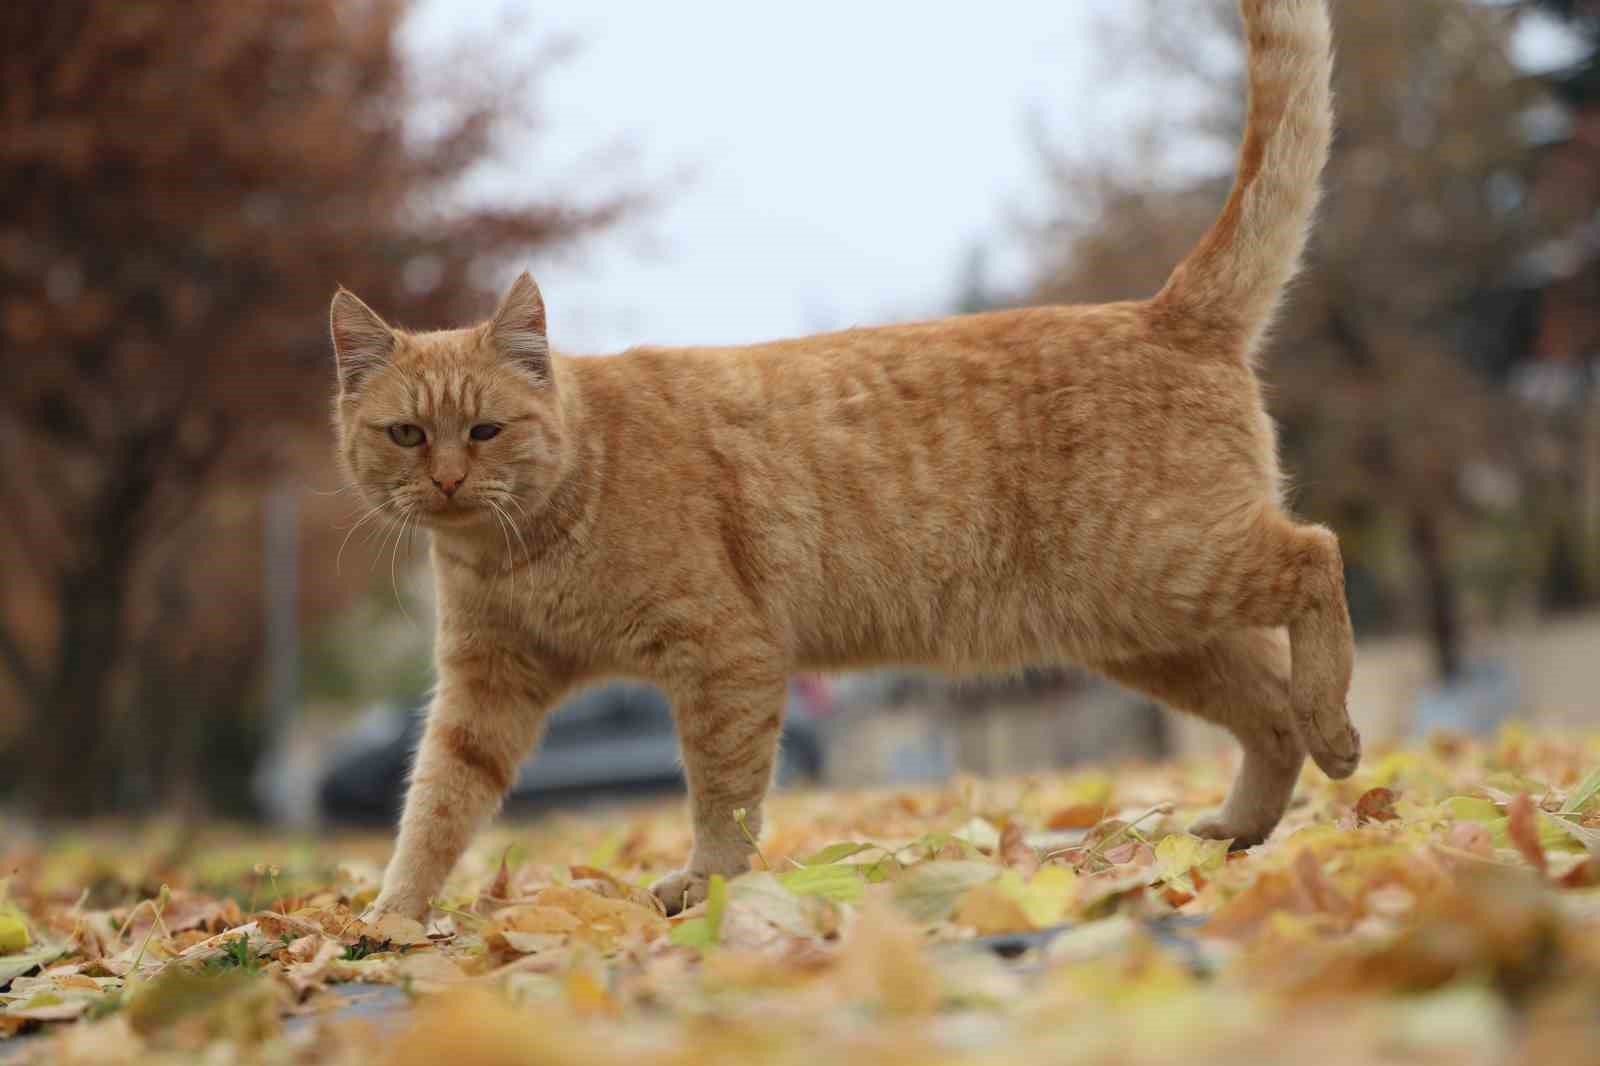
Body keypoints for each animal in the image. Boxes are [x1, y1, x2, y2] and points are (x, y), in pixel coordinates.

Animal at [334, 0, 1350, 915]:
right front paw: (391, 916)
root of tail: (1163, 309)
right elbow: (437, 804)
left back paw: (1338, 733)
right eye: (407, 435)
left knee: (1316, 558)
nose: (448, 479)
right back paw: (1236, 829)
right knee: (1271, 710)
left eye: (485, 430)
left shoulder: (724, 654)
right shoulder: (487, 686)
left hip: (1163, 571)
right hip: (1148, 629)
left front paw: (707, 885)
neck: (523, 548)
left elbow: (722, 793)